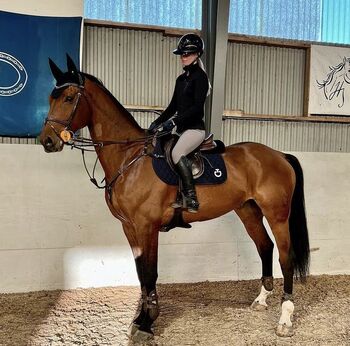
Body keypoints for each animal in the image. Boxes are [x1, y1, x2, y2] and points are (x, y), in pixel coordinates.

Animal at [39, 54, 310, 340]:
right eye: (50, 98)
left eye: (69, 98)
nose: (47, 141)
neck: (129, 158)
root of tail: (279, 155)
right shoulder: (129, 228)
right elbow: (140, 273)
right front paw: (140, 319)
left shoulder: (147, 226)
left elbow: (150, 272)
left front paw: (147, 323)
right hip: (248, 210)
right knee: (264, 246)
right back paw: (261, 300)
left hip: (277, 214)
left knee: (285, 257)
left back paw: (285, 319)